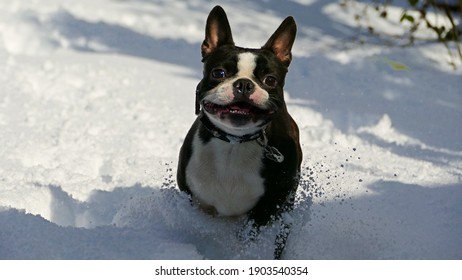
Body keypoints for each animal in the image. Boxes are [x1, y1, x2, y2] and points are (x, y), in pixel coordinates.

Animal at [177, 5, 304, 260]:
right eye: (218, 73)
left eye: (270, 79)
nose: (244, 84)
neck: (233, 143)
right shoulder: (192, 198)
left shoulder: (270, 207)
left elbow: (250, 234)